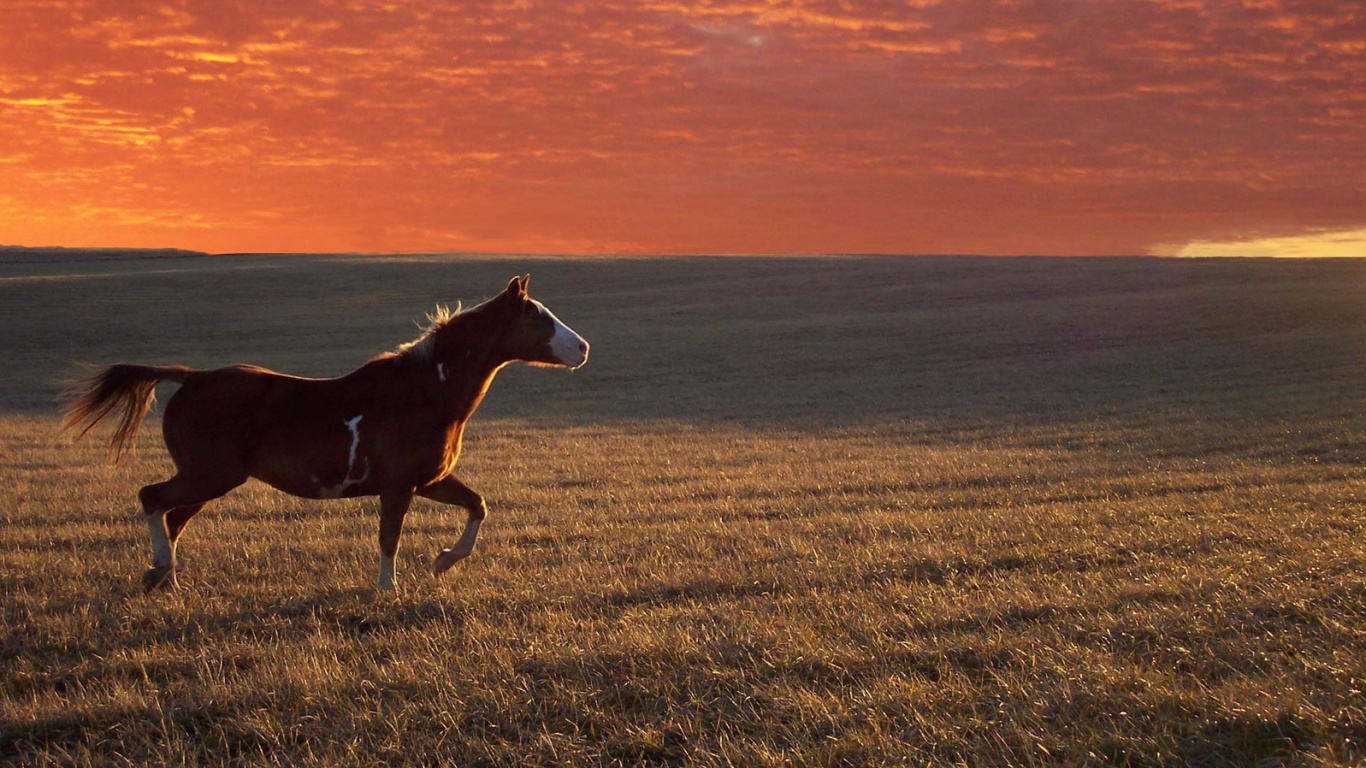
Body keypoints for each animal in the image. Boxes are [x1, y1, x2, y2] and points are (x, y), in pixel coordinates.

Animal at [62, 274, 587, 593]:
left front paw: (443, 561)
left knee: (173, 518)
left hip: (211, 479)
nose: (582, 348)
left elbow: (477, 505)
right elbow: (389, 537)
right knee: (152, 498)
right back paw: (159, 569)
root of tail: (190, 378)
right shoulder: (398, 486)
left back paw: (167, 579)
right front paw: (388, 589)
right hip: (209, 475)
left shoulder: (430, 480)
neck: (426, 392)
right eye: (538, 317)